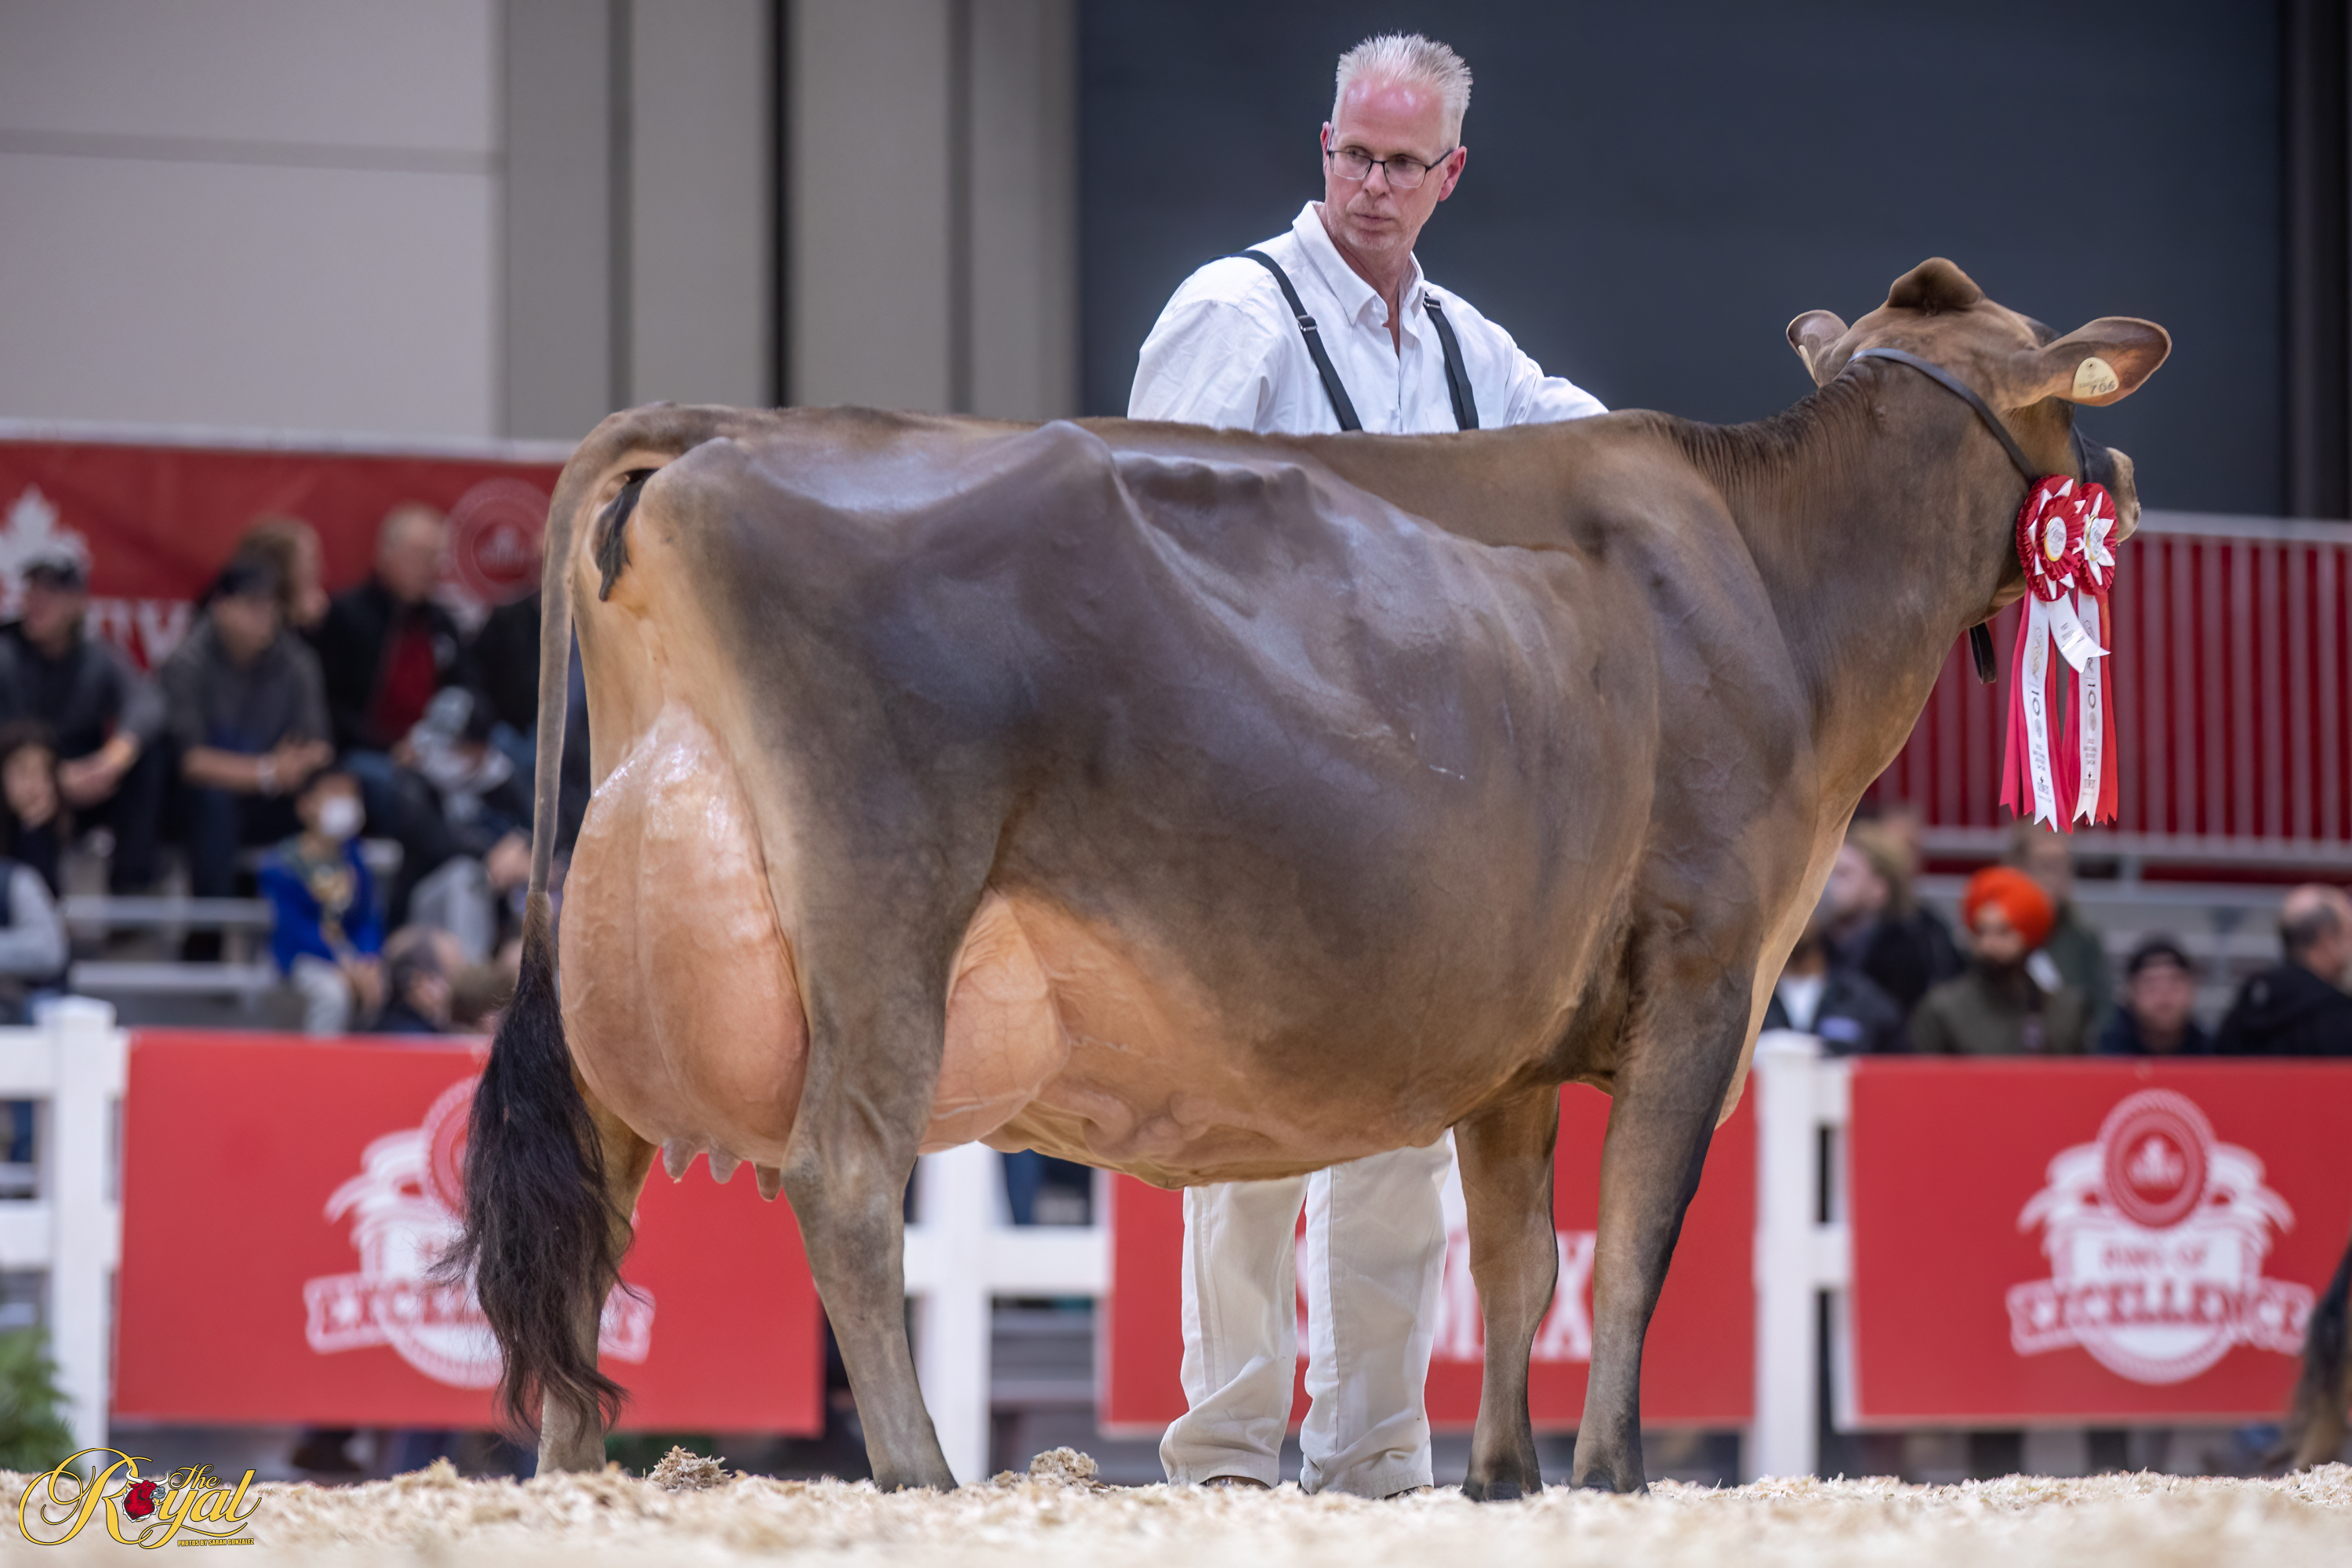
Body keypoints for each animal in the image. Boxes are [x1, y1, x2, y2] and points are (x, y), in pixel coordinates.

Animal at [443, 258, 2169, 1497]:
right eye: (2062, 384)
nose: (2131, 485)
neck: (1776, 582)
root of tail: (735, 426)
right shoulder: (1703, 971)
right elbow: (1635, 1247)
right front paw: (1611, 1473)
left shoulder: (1518, 1043)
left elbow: (1520, 1261)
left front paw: (1504, 1476)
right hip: (883, 901)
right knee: (846, 1176)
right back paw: (922, 1474)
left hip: (641, 897)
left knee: (592, 1181)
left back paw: (575, 1469)